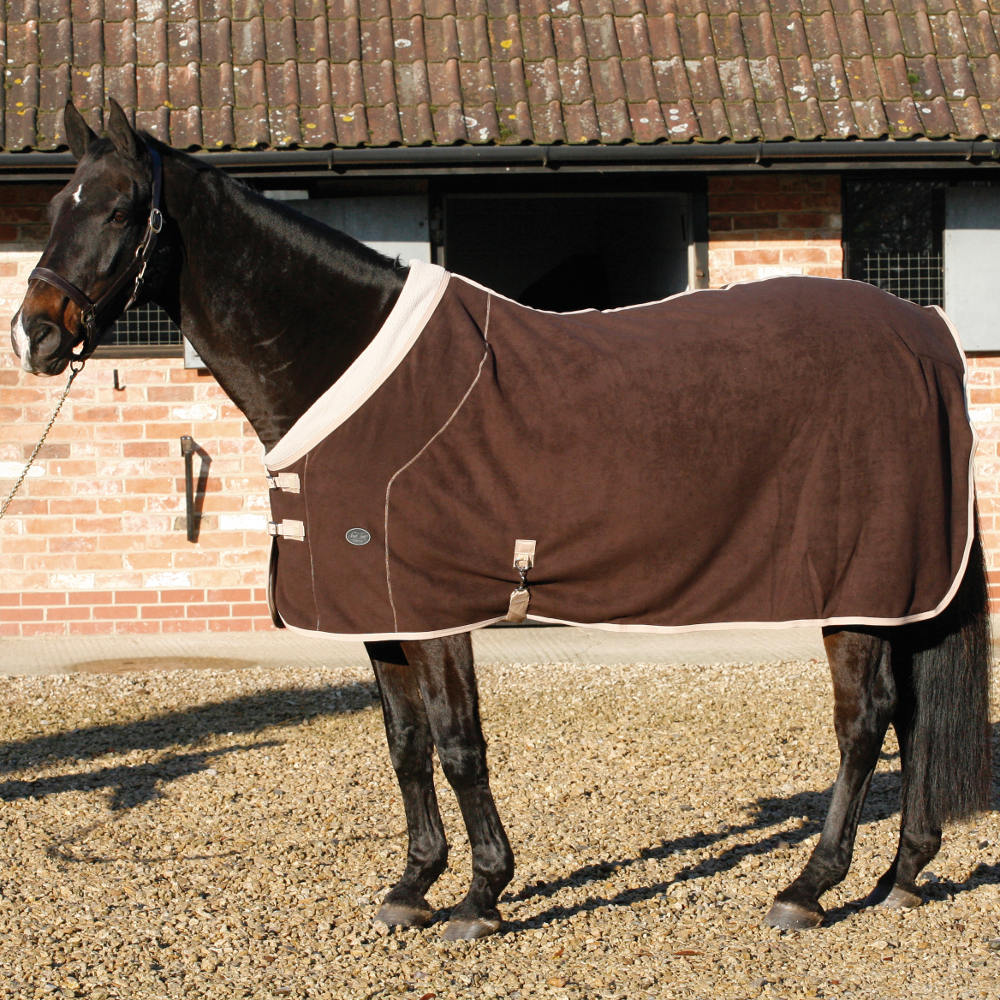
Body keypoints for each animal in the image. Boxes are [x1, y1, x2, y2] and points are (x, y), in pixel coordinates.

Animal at [10, 101, 992, 939]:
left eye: (121, 209)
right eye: (56, 203)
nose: (36, 335)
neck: (349, 365)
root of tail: (928, 337)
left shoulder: (438, 607)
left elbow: (458, 744)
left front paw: (481, 896)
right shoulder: (382, 612)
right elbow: (405, 745)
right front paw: (413, 885)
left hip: (859, 586)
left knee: (865, 721)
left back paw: (808, 887)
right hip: (901, 591)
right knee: (911, 716)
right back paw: (902, 875)